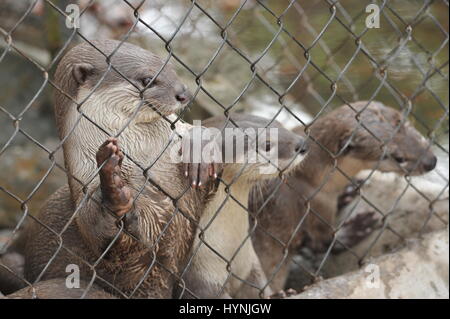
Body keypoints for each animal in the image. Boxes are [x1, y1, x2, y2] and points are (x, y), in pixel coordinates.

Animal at [23, 40, 220, 300]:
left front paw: (198, 151)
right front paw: (113, 188)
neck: (145, 158)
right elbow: (112, 240)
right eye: (147, 80)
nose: (184, 94)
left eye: (173, 70)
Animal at [179, 115, 310, 300]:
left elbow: (260, 288)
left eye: (280, 125)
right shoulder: (201, 281)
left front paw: (282, 293)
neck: (229, 247)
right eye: (267, 145)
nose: (303, 144)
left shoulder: (252, 267)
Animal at [250, 101, 436, 292]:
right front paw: (360, 225)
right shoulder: (315, 203)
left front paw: (349, 192)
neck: (311, 175)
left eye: (406, 125)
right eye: (398, 158)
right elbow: (325, 242)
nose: (431, 162)